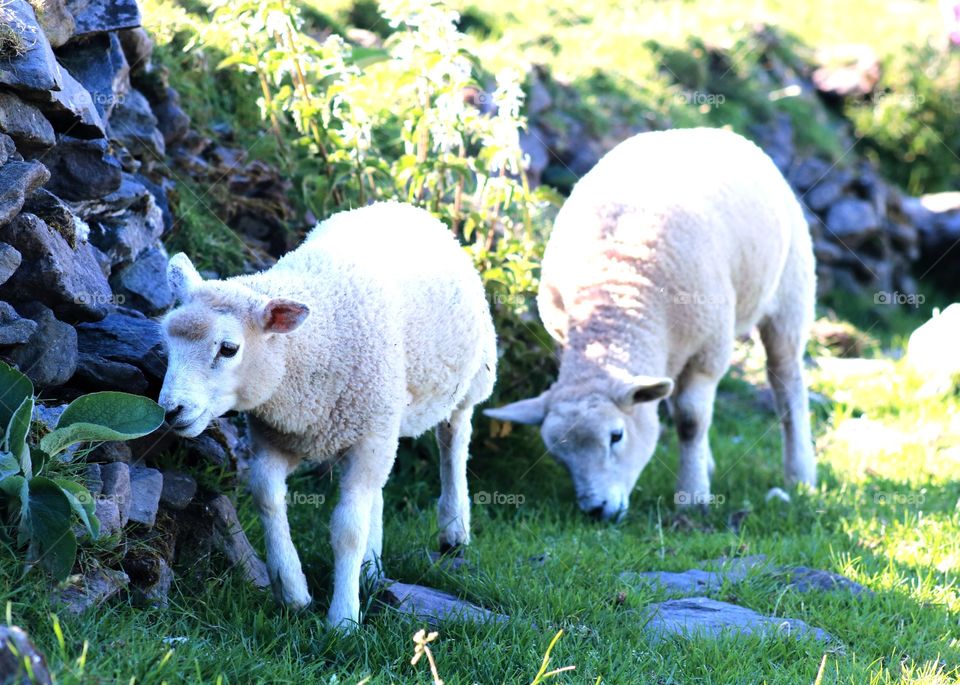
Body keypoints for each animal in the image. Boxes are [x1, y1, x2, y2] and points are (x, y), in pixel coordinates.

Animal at [158, 202, 497, 629]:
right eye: (166, 343)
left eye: (229, 348)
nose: (171, 410)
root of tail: (399, 205)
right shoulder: (276, 435)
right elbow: (267, 497)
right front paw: (293, 591)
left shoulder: (367, 437)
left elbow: (348, 528)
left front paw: (343, 619)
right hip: (384, 419)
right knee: (377, 492)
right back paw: (371, 567)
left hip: (469, 378)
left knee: (454, 440)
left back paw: (453, 529)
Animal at [486, 127, 816, 521]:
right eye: (558, 454)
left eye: (616, 436)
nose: (596, 510)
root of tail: (712, 131)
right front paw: (698, 475)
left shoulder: (708, 352)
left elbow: (690, 420)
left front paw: (693, 497)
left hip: (790, 293)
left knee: (787, 382)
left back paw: (800, 476)